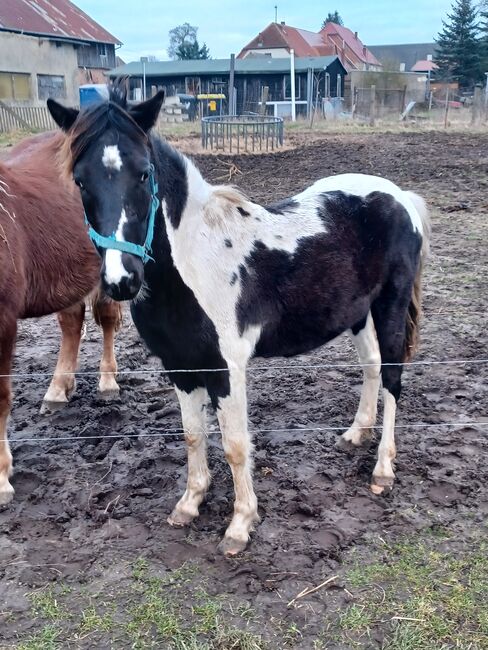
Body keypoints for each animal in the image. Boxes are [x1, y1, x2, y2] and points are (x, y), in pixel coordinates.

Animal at [48, 85, 430, 552]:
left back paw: (383, 469)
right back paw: (357, 433)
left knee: (393, 377)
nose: (122, 280)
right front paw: (190, 503)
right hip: (357, 313)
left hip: (390, 305)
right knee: (373, 366)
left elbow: (234, 443)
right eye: (80, 181)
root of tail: (399, 196)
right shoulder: (181, 367)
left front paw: (240, 524)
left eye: (143, 174)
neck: (194, 261)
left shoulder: (226, 366)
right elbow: (193, 433)